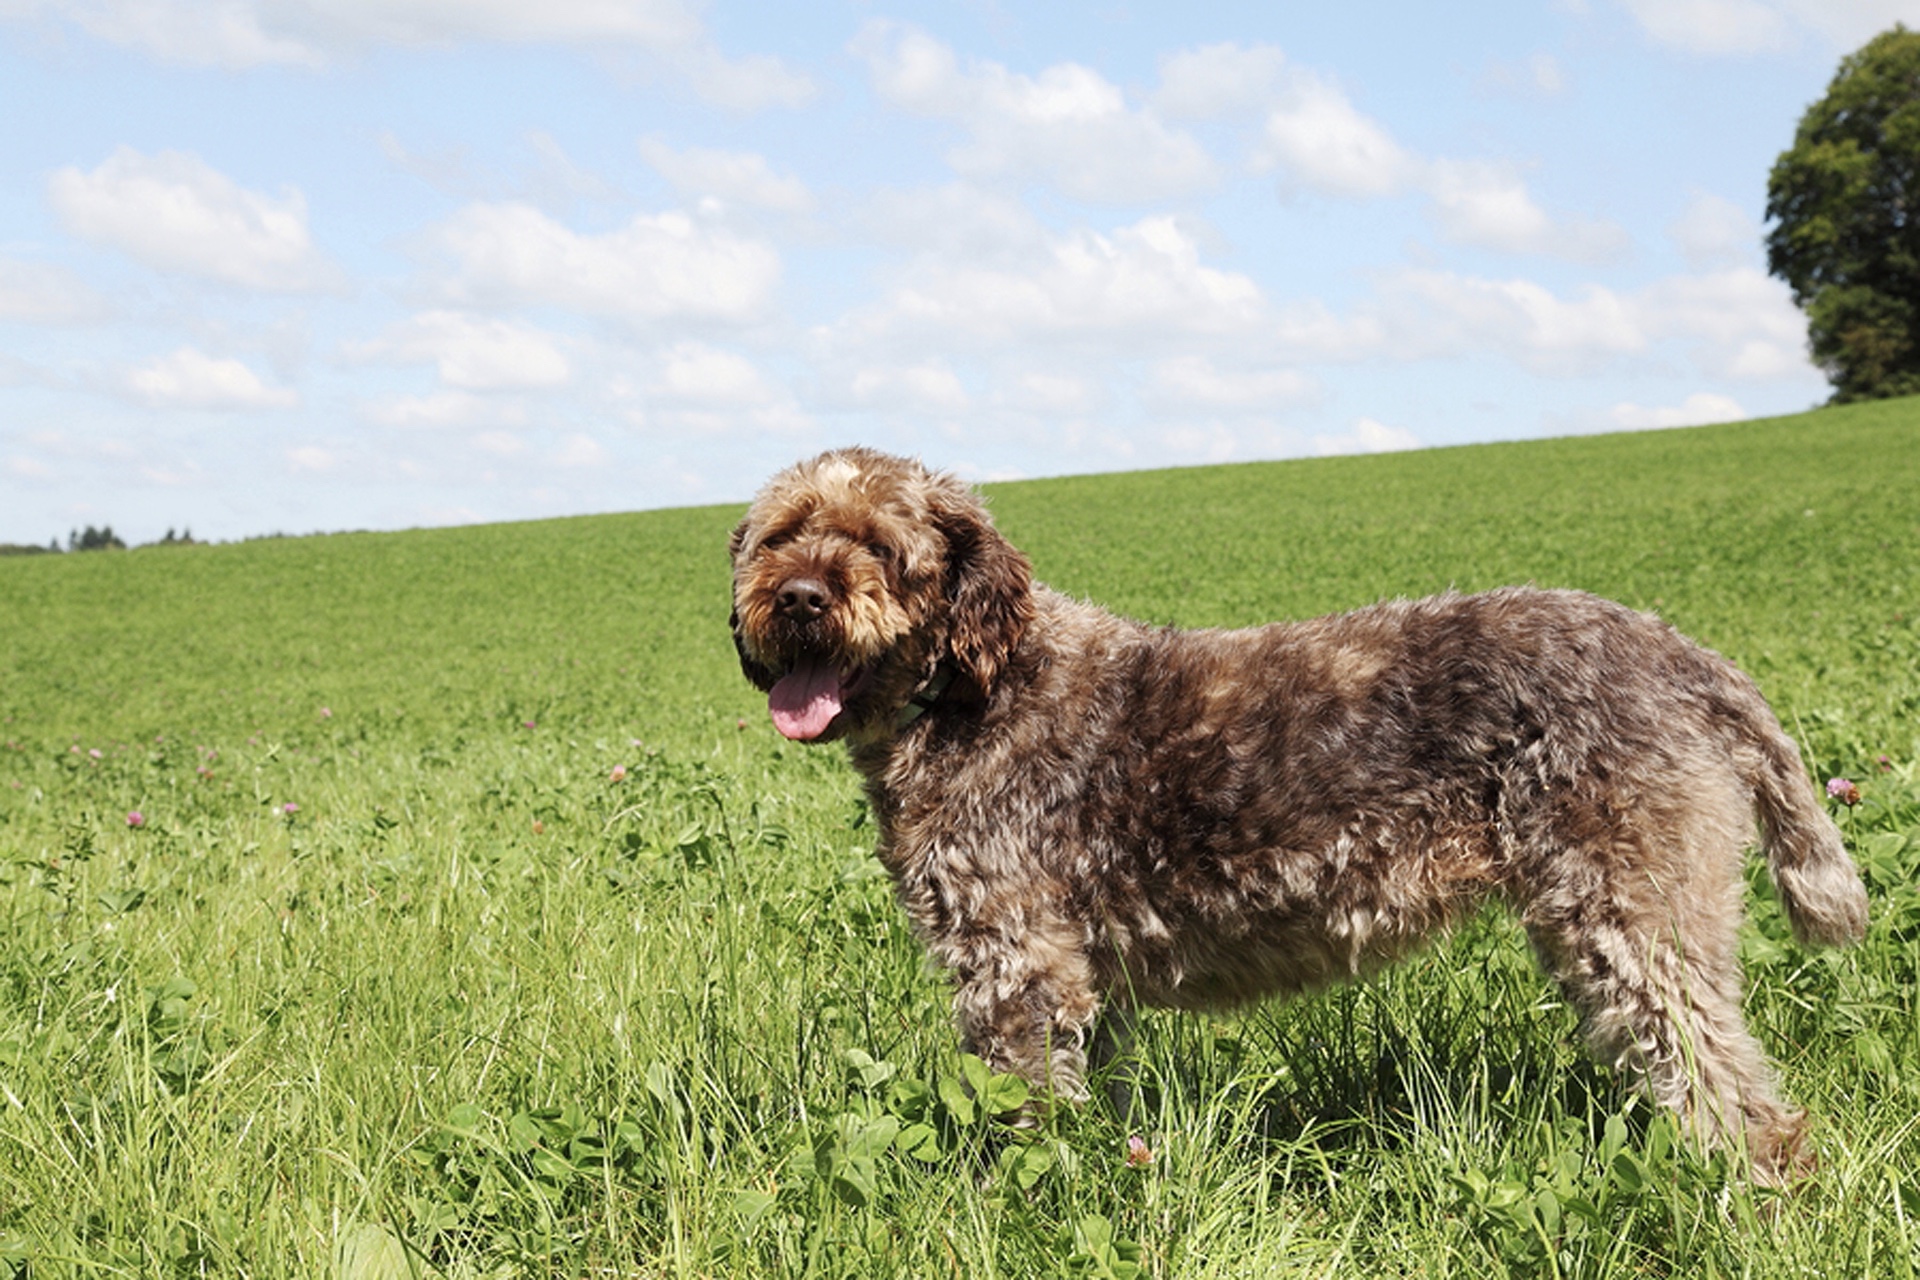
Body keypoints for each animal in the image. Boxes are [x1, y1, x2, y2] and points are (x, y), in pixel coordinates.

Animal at [725, 449, 1866, 1182]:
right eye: (779, 536)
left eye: (879, 545)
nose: (799, 596)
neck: (973, 685)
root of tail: (1682, 653)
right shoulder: (1084, 981)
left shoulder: (1018, 969)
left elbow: (1028, 1114)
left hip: (1631, 914)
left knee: (1733, 1090)